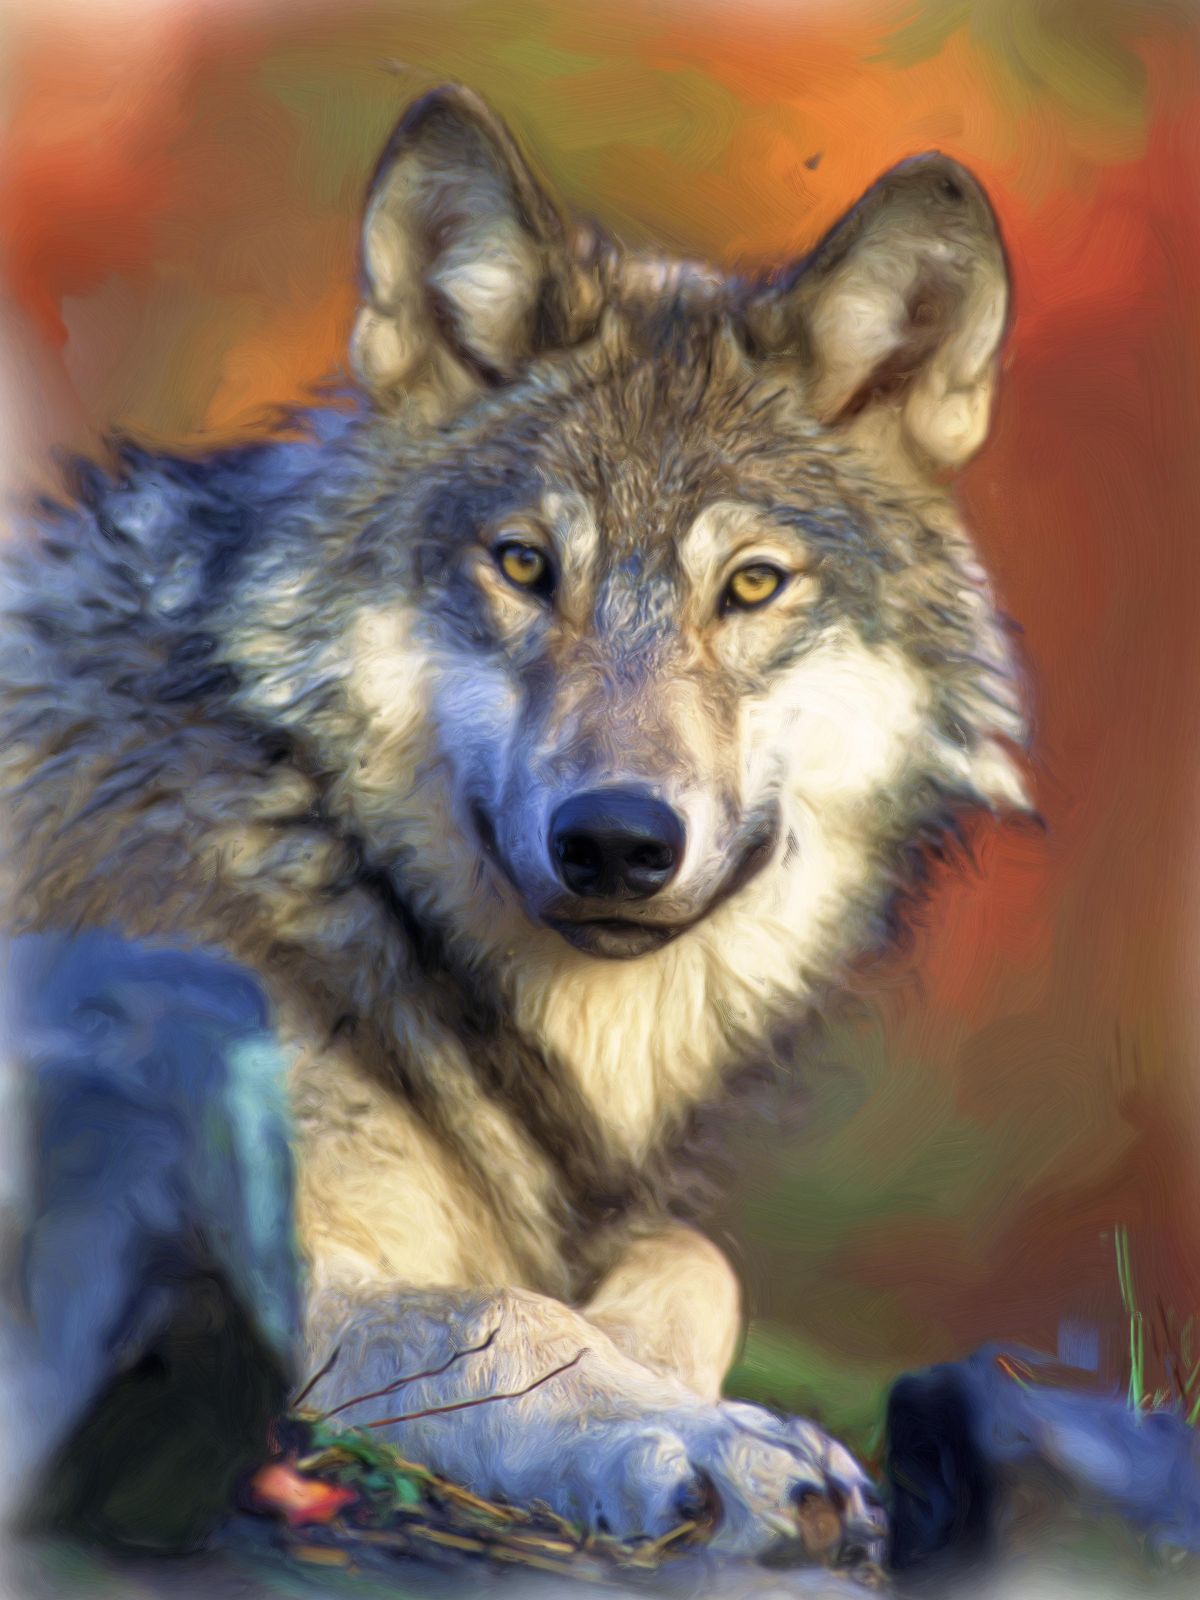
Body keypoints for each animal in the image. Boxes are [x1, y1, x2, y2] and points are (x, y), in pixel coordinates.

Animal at [0, 86, 1028, 1560]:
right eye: (527, 565)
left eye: (751, 585)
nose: (615, 841)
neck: (330, 860)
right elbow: (499, 1311)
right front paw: (706, 1439)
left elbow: (694, 1261)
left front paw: (675, 1387)